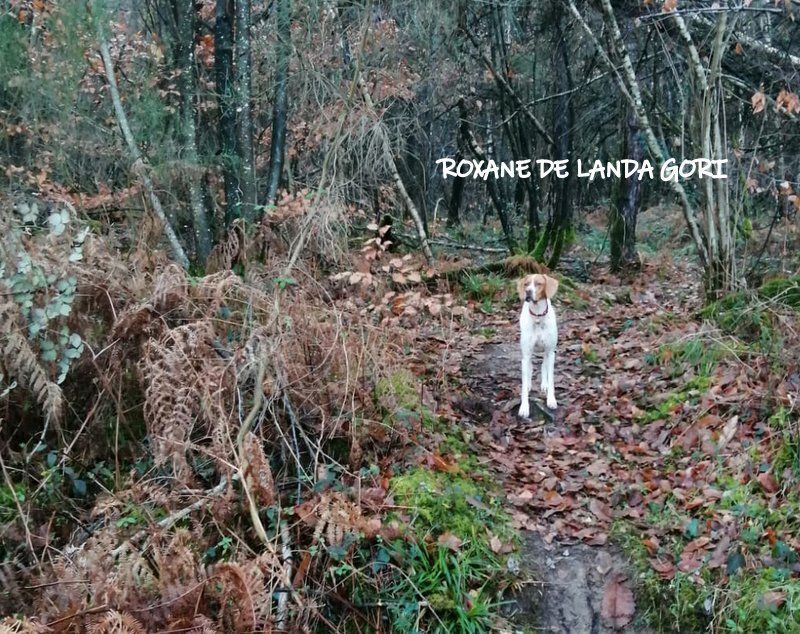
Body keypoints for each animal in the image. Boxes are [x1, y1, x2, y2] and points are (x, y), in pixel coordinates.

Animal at [516, 272, 560, 414]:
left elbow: (551, 377)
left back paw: (544, 385)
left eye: (538, 284)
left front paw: (551, 400)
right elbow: (524, 382)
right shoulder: (526, 354)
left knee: (543, 365)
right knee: (529, 369)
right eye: (526, 284)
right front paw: (524, 408)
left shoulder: (551, 352)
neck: (538, 316)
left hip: (547, 353)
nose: (528, 292)